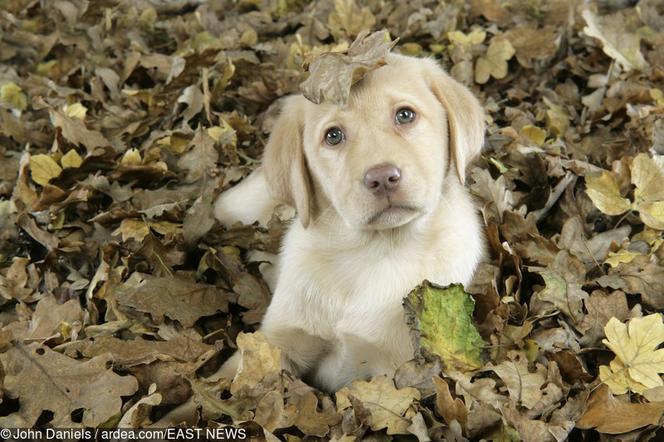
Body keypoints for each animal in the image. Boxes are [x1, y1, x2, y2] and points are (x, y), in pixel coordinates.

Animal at [215, 54, 486, 390]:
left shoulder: (396, 369)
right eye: (333, 135)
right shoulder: (276, 341)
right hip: (238, 205)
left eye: (405, 115)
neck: (372, 251)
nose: (382, 177)